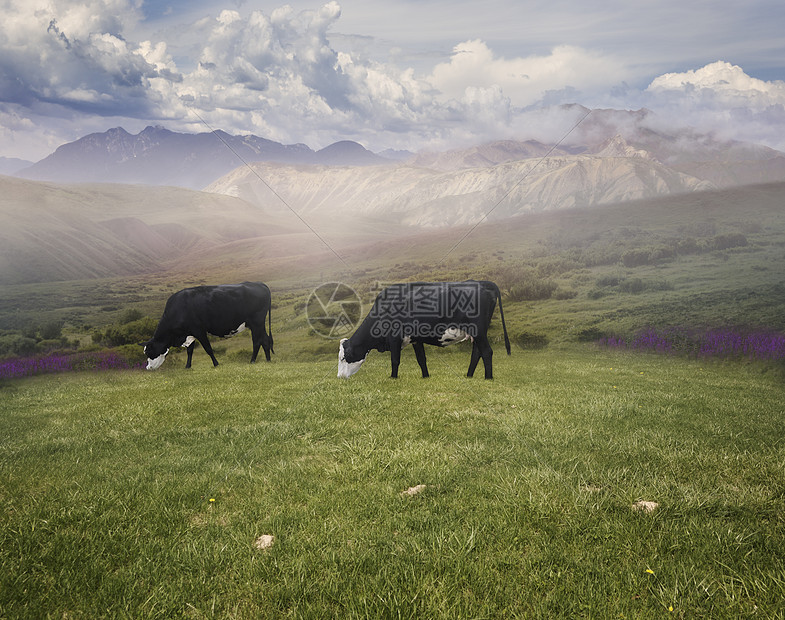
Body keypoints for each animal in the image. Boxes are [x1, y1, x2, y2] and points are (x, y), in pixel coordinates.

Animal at [142, 282, 274, 372]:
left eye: (148, 351)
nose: (148, 367)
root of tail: (259, 283)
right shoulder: (190, 333)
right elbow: (189, 351)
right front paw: (187, 366)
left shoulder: (199, 330)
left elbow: (208, 349)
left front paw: (216, 364)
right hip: (258, 324)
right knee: (265, 340)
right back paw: (268, 360)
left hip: (256, 322)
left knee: (257, 342)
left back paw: (252, 361)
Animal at [336, 280, 508, 378]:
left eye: (343, 358)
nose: (339, 377)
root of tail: (482, 282)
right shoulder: (415, 339)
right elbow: (421, 359)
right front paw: (425, 376)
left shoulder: (394, 337)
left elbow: (395, 360)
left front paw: (393, 378)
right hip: (476, 332)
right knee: (477, 353)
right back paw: (469, 376)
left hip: (478, 330)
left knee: (486, 352)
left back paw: (488, 378)